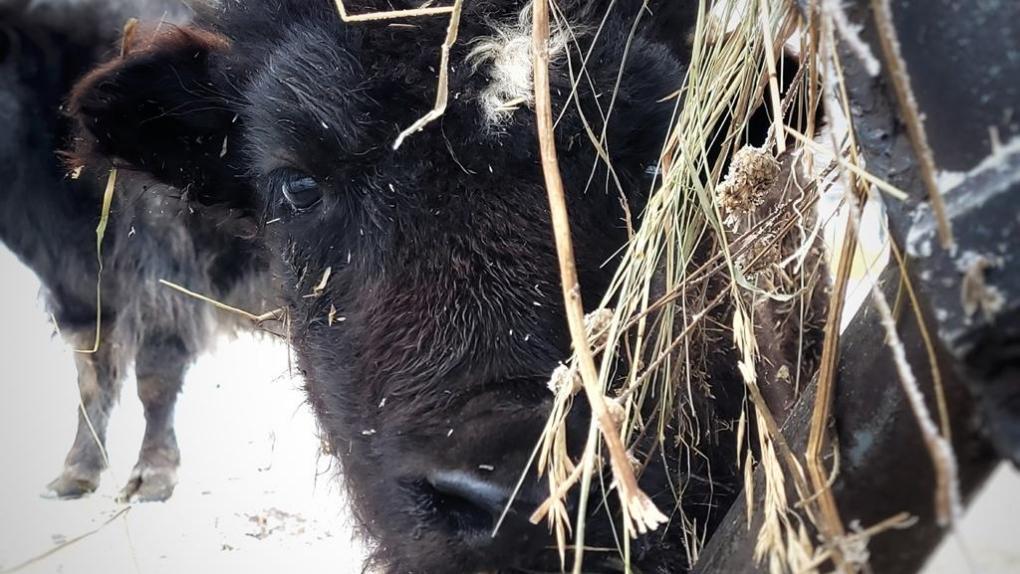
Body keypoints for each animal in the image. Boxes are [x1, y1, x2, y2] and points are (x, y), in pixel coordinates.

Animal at [0, 0, 275, 501]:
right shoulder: (82, 293)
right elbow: (93, 381)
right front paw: (76, 472)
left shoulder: (163, 287)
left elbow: (154, 379)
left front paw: (152, 476)